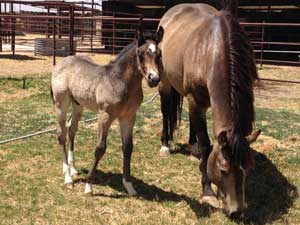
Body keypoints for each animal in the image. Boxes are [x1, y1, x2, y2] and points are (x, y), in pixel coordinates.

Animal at [51, 29, 164, 196]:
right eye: (141, 53)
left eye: (159, 54)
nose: (154, 79)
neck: (120, 80)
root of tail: (61, 62)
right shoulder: (105, 115)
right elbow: (100, 148)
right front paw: (88, 186)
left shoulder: (129, 117)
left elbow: (128, 148)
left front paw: (129, 186)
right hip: (61, 104)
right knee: (61, 134)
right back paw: (67, 177)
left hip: (78, 105)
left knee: (72, 129)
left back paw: (73, 169)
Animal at [158, 3, 258, 217]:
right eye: (223, 170)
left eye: (246, 169)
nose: (236, 212)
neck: (213, 49)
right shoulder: (195, 100)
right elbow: (206, 144)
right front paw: (207, 191)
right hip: (164, 82)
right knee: (165, 111)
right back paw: (165, 144)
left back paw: (192, 146)